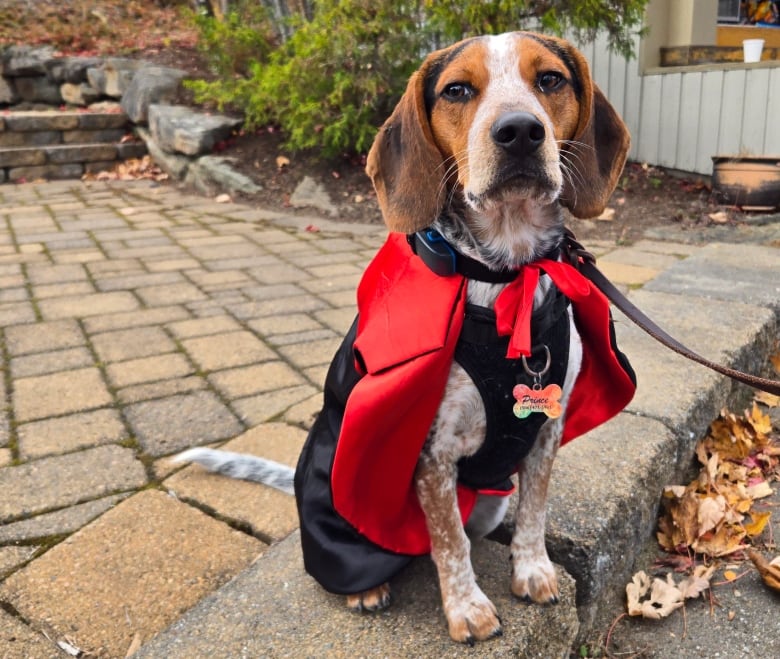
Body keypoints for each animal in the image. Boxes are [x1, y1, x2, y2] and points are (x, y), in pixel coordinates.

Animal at [180, 32, 636, 644]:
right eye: (457, 90)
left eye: (550, 80)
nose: (520, 131)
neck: (504, 275)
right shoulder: (431, 452)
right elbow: (448, 541)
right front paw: (466, 608)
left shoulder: (546, 430)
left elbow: (533, 512)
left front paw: (533, 569)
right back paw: (367, 588)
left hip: (491, 499)